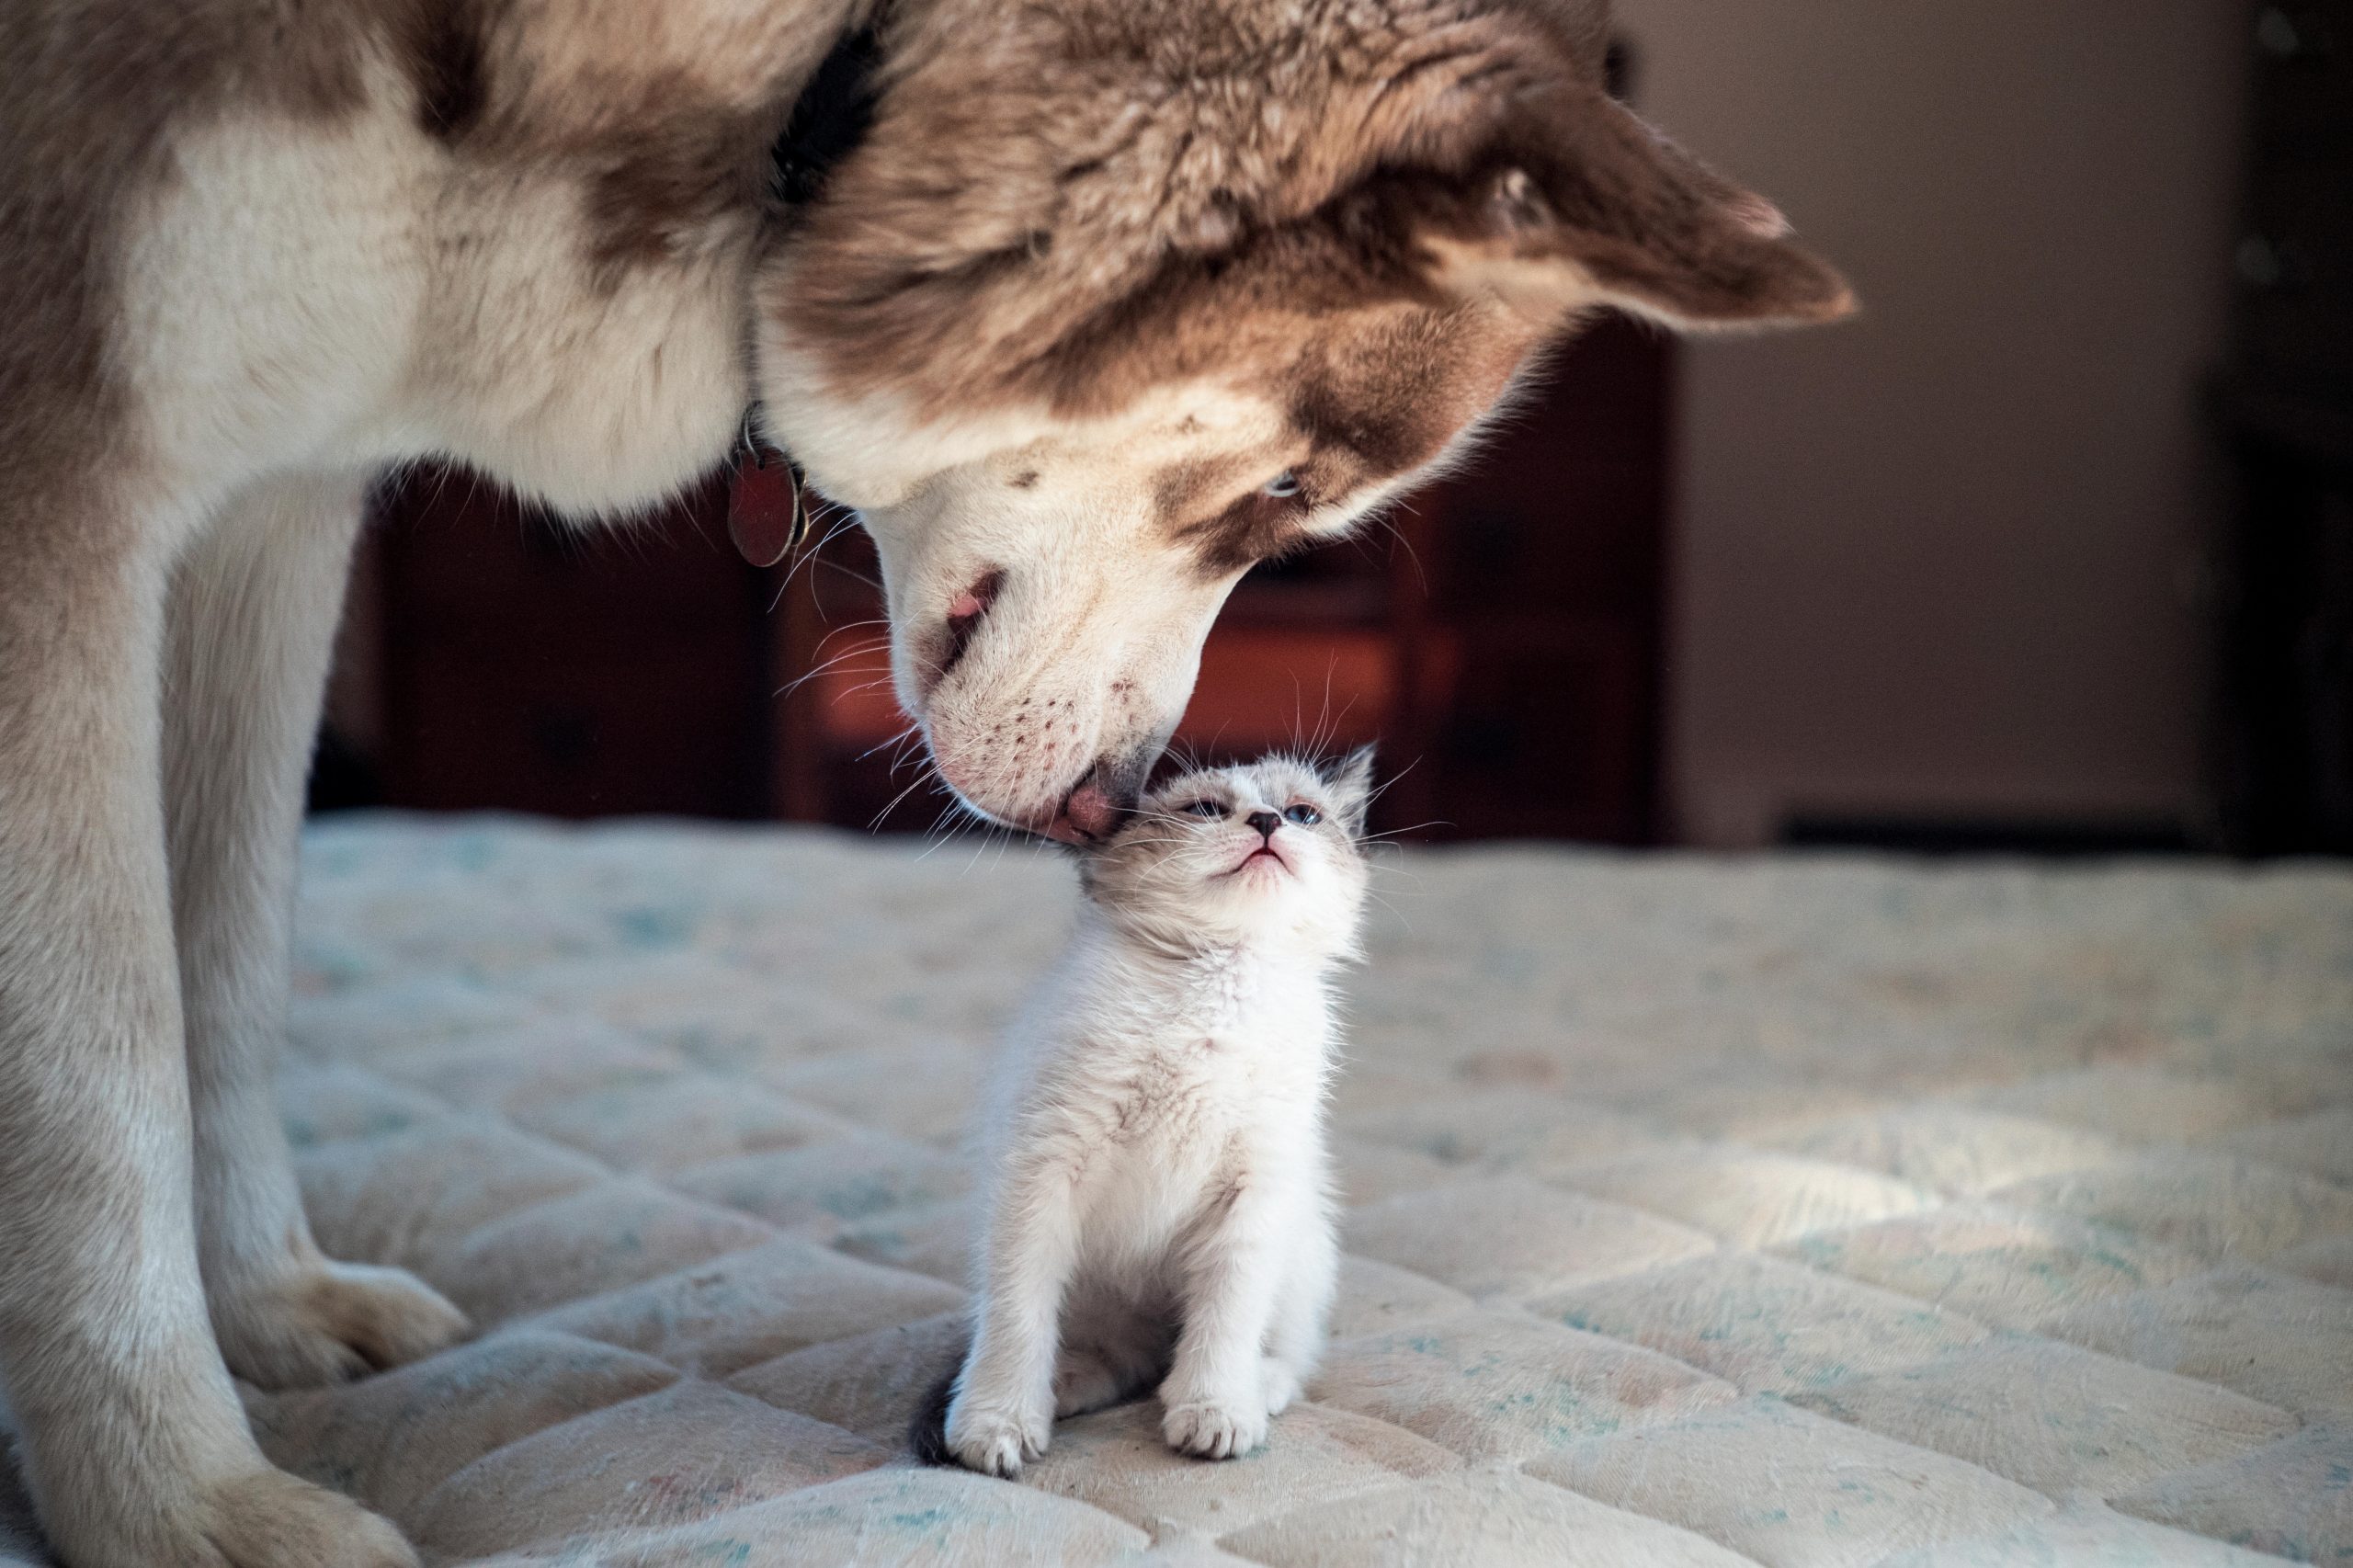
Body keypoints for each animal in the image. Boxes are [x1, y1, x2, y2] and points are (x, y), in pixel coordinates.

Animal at [941, 744, 1374, 1469]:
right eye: (1205, 809)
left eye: (1302, 815)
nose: (1266, 823)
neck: (1215, 991)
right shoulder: (1042, 1169)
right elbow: (1017, 1313)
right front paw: (997, 1423)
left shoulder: (1256, 1186)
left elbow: (1227, 1311)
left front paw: (1215, 1409)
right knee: (1121, 1358)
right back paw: (1065, 1385)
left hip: (1302, 1242)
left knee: (1272, 1352)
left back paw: (1255, 1387)